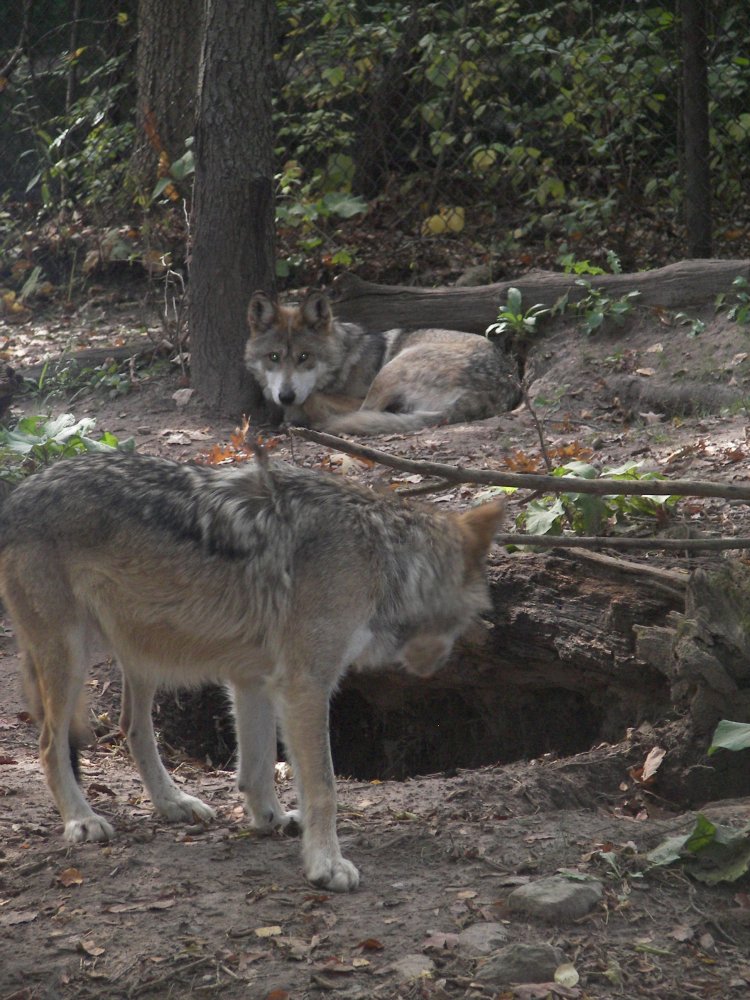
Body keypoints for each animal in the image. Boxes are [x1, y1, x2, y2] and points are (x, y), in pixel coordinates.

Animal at [1, 454, 506, 892]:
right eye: (469, 618)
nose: (436, 667)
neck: (384, 558)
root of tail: (18, 492)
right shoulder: (306, 685)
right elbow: (323, 786)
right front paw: (326, 865)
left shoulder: (254, 679)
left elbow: (258, 766)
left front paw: (271, 820)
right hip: (71, 656)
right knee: (49, 744)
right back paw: (81, 819)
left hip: (141, 656)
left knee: (132, 728)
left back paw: (173, 803)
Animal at [244, 288, 516, 432]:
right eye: (274, 357)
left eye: (304, 357)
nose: (286, 396)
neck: (344, 363)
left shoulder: (351, 397)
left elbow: (313, 399)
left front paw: (295, 414)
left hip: (392, 369)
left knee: (364, 413)